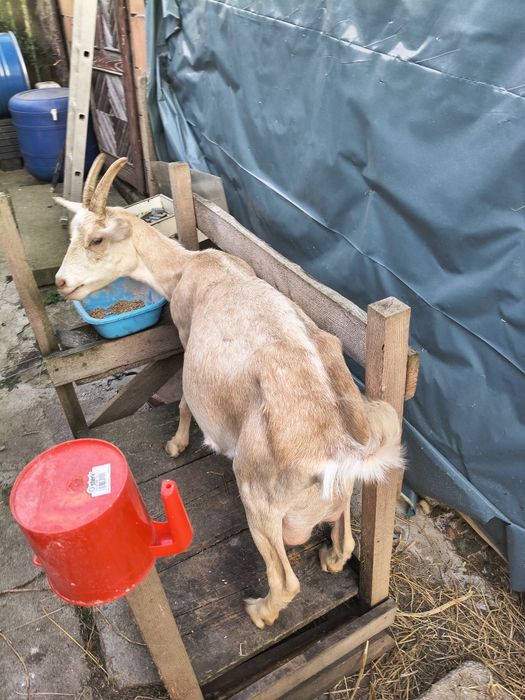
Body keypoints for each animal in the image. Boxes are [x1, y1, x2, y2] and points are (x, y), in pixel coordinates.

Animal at [55, 156, 403, 628]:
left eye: (96, 238)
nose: (61, 282)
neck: (190, 267)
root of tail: (336, 449)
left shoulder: (186, 334)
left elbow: (185, 397)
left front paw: (176, 444)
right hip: (340, 491)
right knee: (346, 542)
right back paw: (330, 557)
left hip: (259, 497)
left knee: (285, 580)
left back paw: (259, 612)